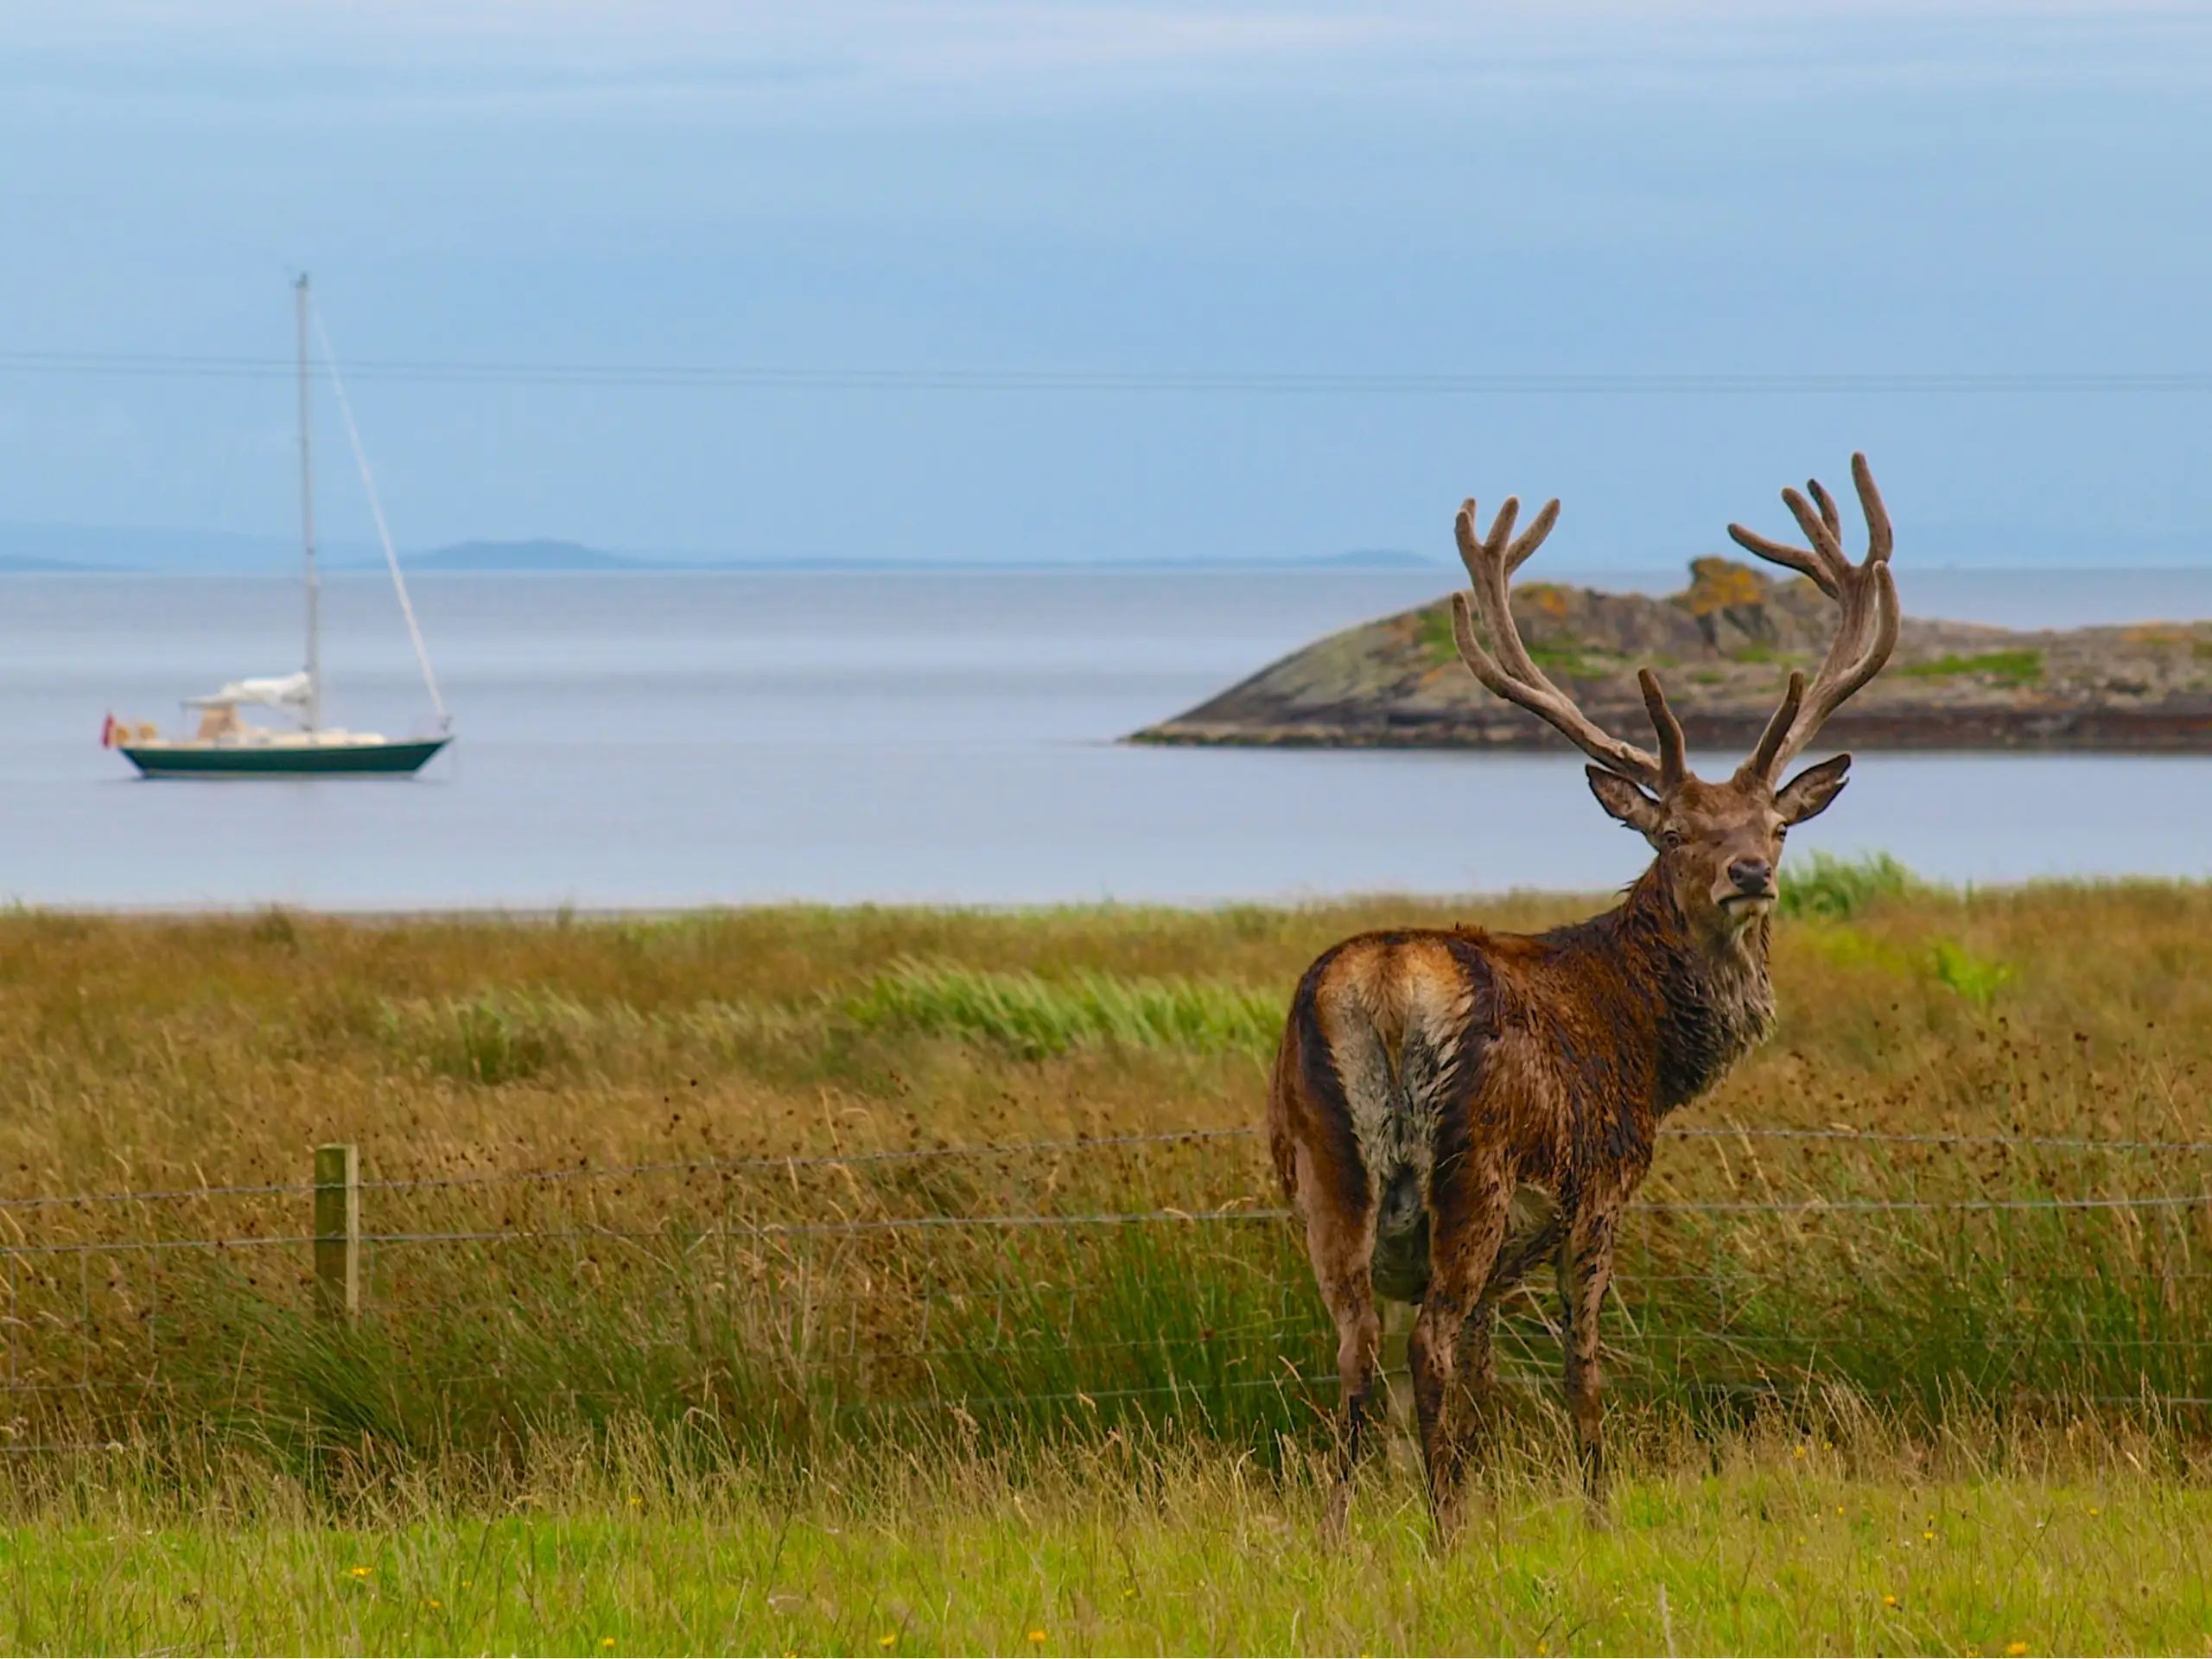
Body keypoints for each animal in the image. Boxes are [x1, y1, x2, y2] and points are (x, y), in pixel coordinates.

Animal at [1267, 454, 1899, 1539]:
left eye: (1776, 826)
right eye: (1674, 832)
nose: (1747, 874)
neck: (1648, 1050)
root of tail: (1382, 984)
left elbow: (1481, 1380)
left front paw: (1471, 1486)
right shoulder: (1598, 1189)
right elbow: (1579, 1369)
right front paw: (1597, 1512)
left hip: (1325, 1173)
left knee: (1355, 1354)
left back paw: (1341, 1536)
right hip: (1472, 1167)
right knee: (1423, 1348)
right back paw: (1445, 1542)